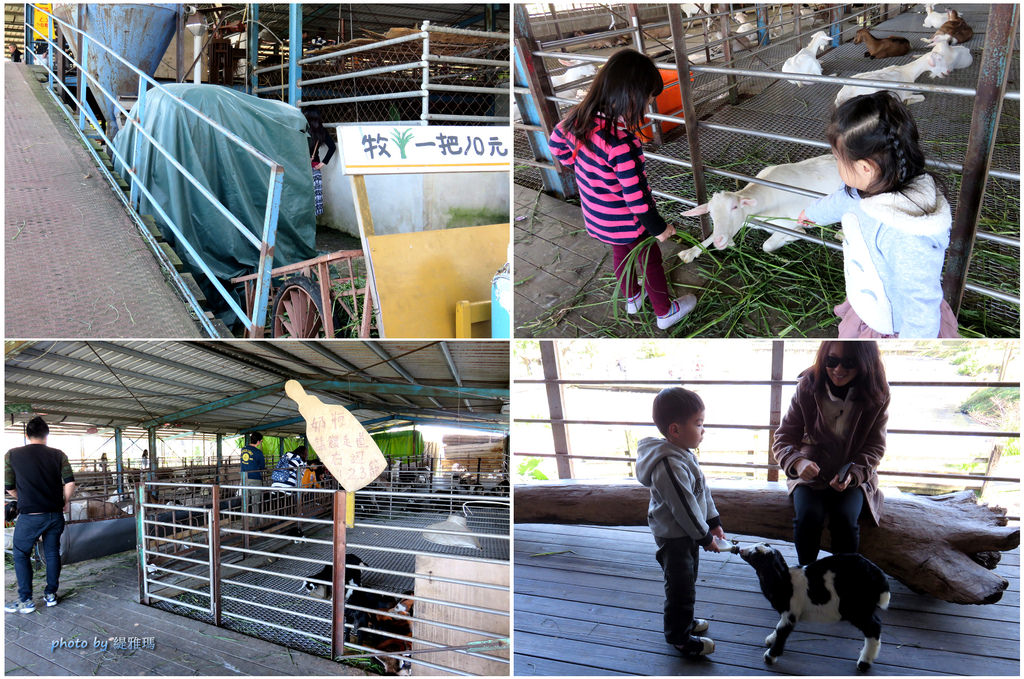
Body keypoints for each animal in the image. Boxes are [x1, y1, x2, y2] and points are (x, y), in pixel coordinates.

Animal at [679, 153, 839, 262]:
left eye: (735, 207)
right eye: (711, 213)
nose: (719, 241)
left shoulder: (789, 222)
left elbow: (767, 246)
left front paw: (797, 234)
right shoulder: (745, 219)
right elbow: (712, 234)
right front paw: (691, 251)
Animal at [737, 544, 888, 671]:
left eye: (756, 553)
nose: (741, 549)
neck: (784, 582)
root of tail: (877, 574)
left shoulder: (791, 612)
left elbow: (782, 630)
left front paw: (770, 657)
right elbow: (779, 628)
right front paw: (771, 639)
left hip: (856, 608)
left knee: (873, 628)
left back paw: (864, 663)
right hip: (865, 607)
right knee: (875, 622)